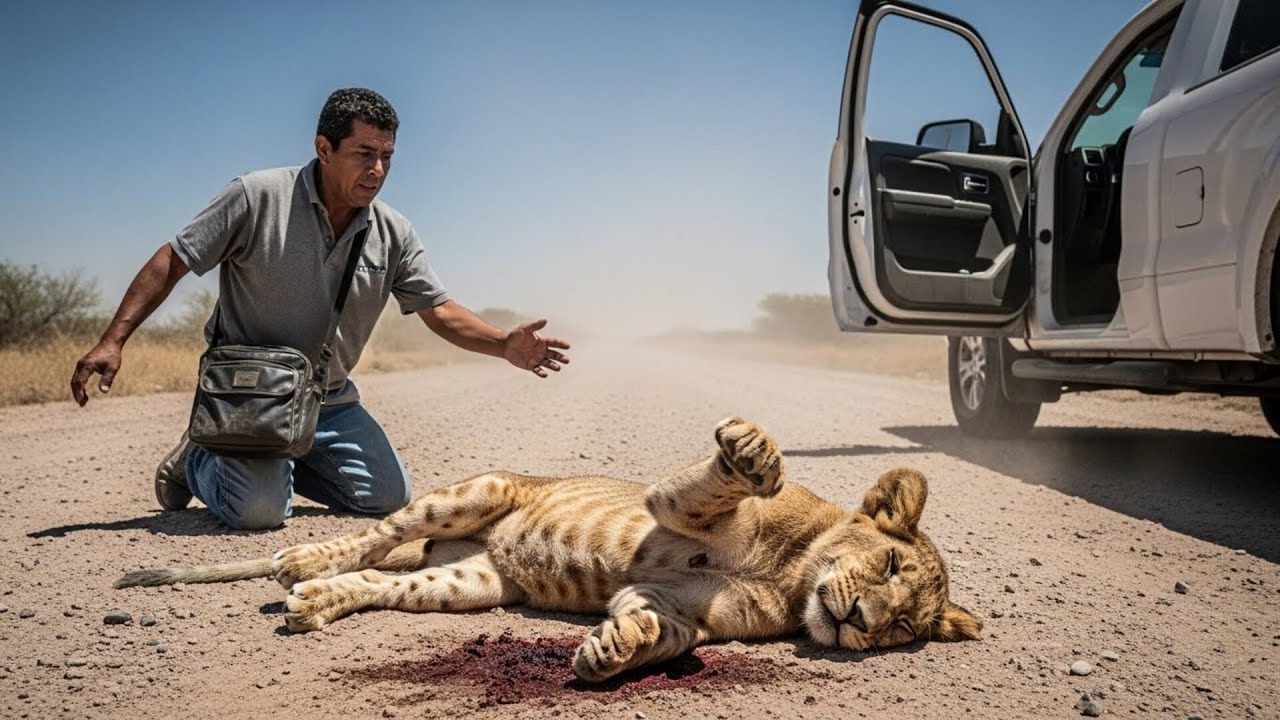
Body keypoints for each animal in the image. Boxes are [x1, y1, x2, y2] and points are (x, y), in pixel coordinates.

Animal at [115, 417, 981, 681]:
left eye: (906, 626)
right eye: (891, 565)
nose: (862, 620)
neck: (794, 575)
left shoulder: (670, 603)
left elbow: (660, 632)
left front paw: (612, 651)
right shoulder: (670, 507)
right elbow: (725, 483)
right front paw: (753, 451)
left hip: (467, 585)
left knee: (379, 581)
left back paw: (315, 604)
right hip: (474, 490)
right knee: (373, 535)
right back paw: (299, 565)